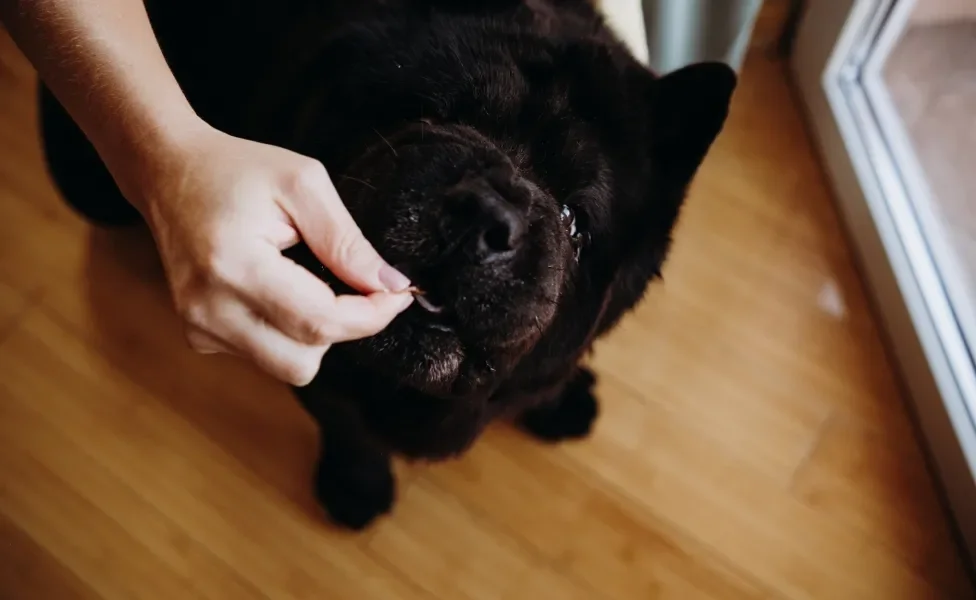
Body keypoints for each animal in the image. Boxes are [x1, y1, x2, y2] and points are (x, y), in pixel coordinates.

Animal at [40, 0, 740, 528]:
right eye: (434, 114)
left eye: (574, 219)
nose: (486, 213)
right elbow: (347, 425)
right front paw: (357, 489)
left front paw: (560, 401)